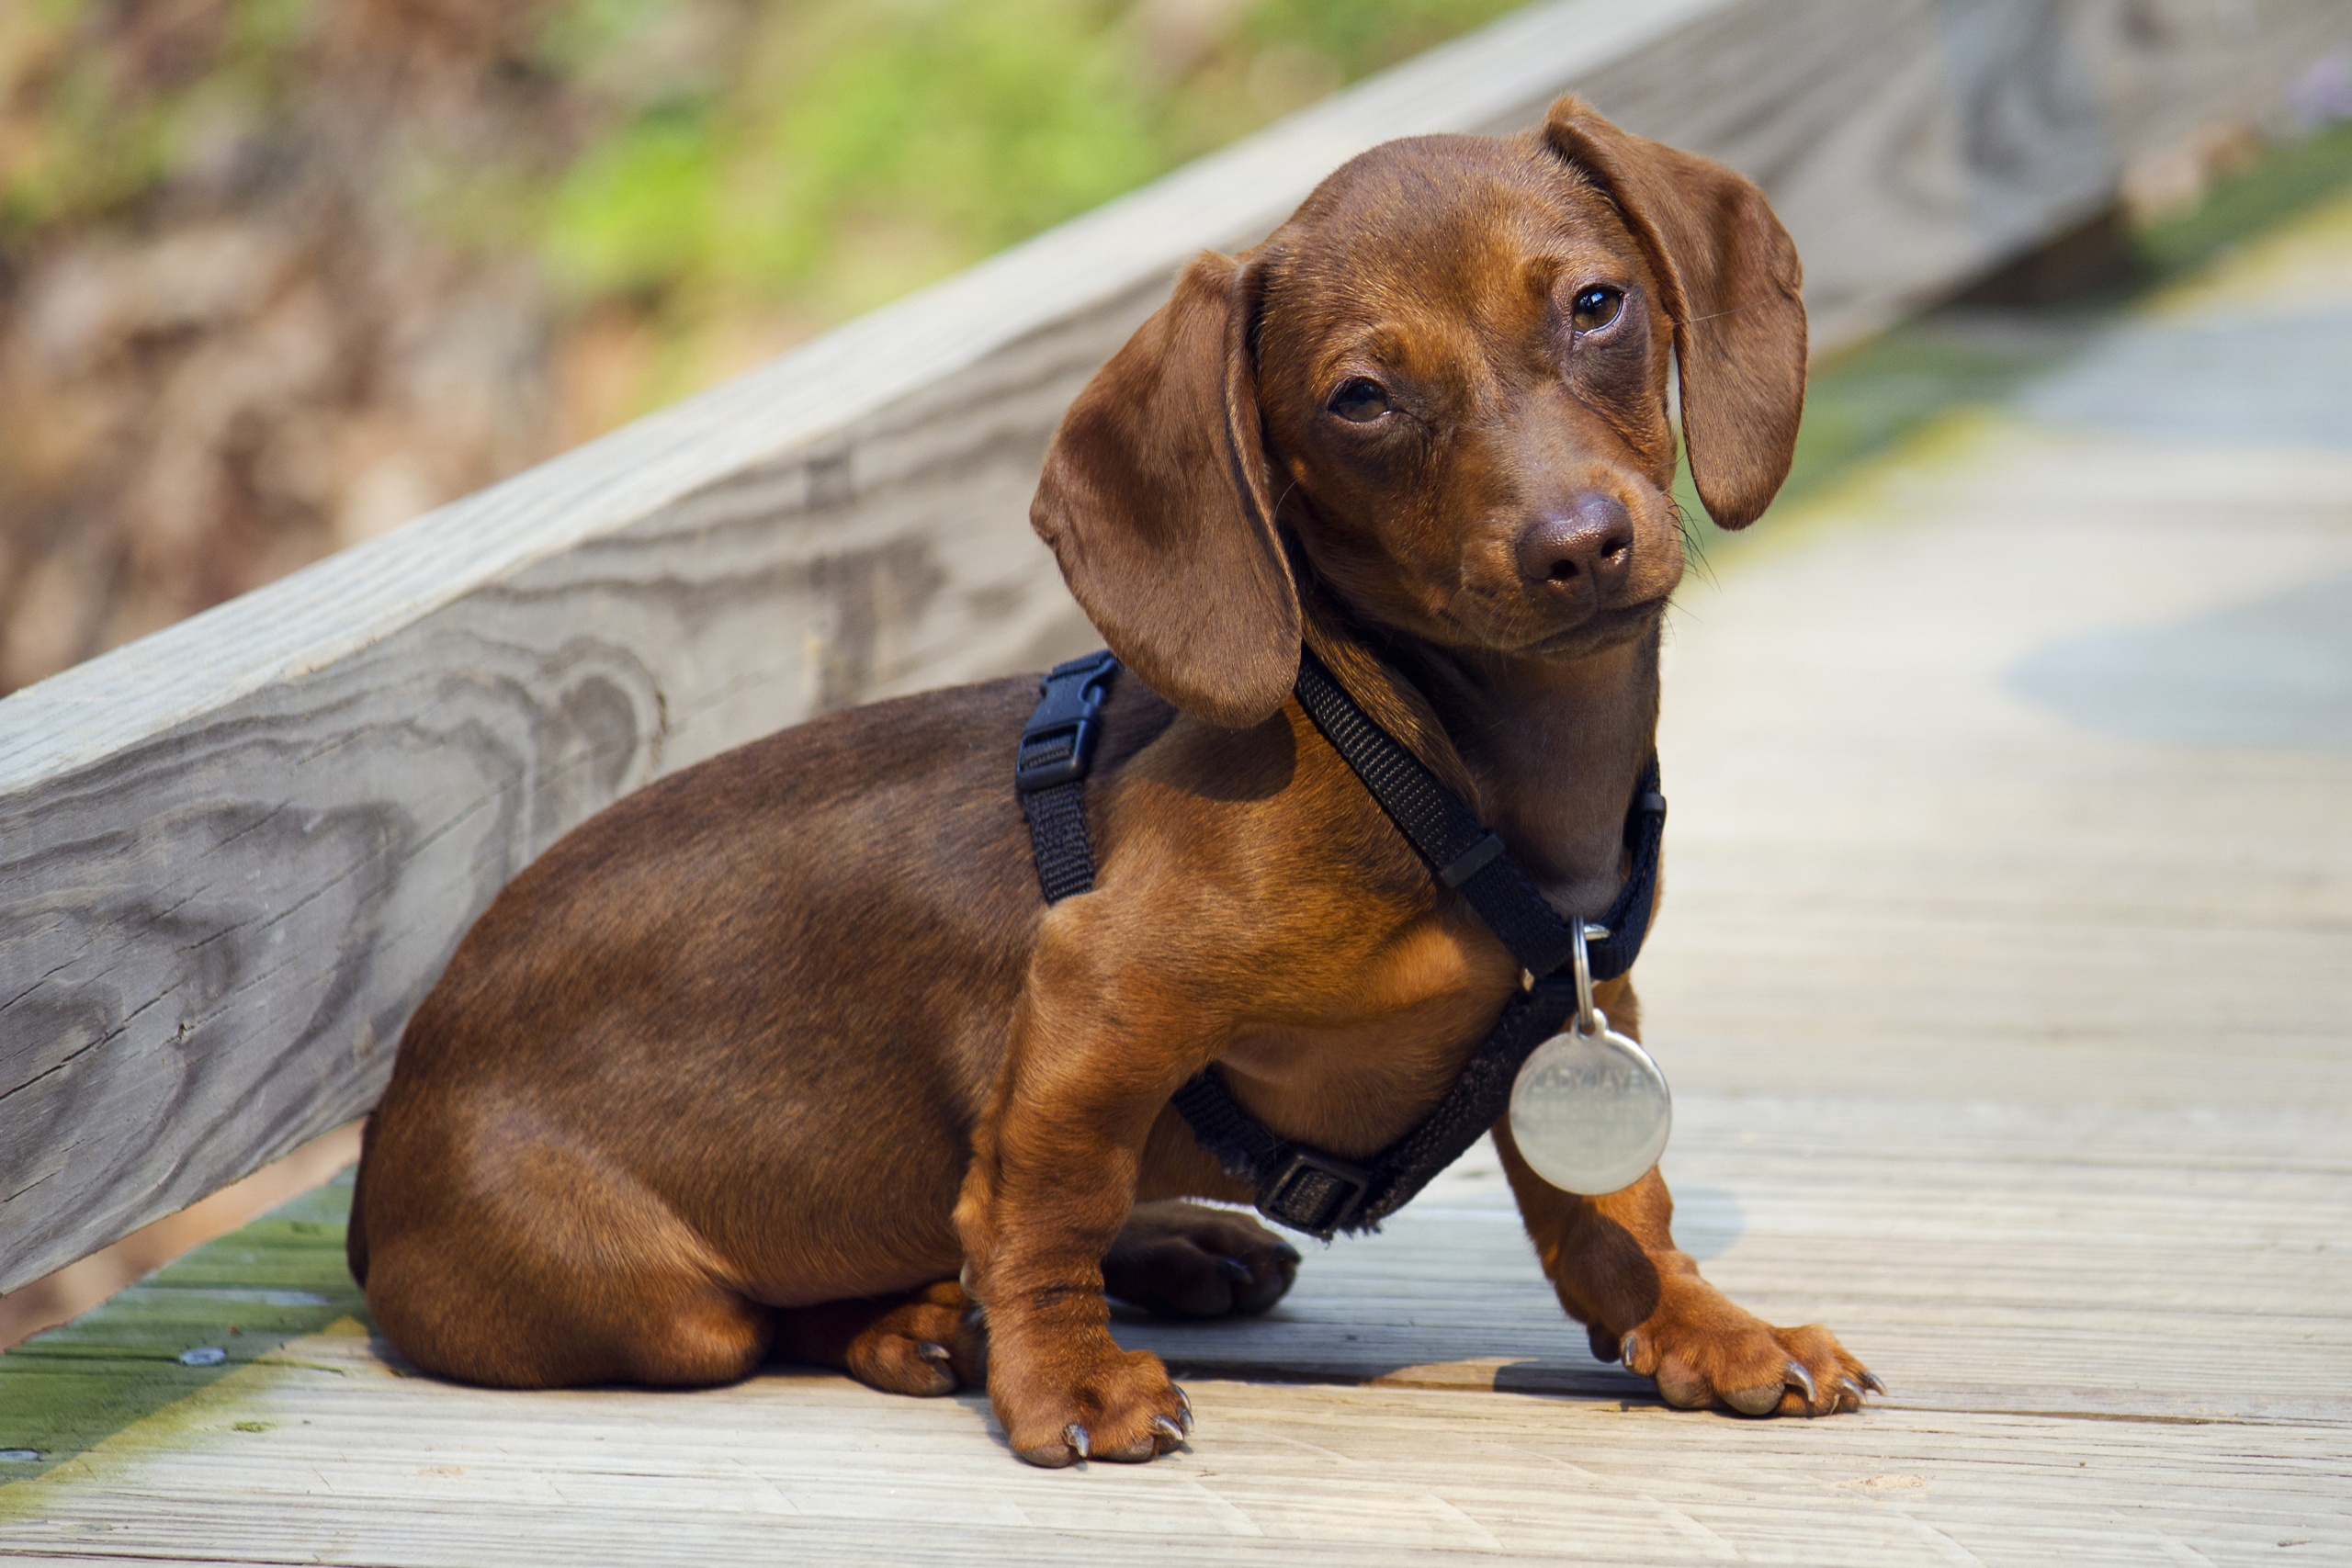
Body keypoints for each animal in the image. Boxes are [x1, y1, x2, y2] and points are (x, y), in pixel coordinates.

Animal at [353, 101, 1871, 1476]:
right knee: (768, 1314)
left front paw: (1708, 1326)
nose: (1577, 545)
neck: (1456, 758)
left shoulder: (1581, 1004)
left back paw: (1163, 1244)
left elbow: (1613, 1209)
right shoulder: (1104, 990)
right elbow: (1044, 1198)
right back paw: (923, 1318)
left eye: (1597, 305)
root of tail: (384, 1139)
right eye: (1361, 398)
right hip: (660, 1307)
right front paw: (1067, 1378)